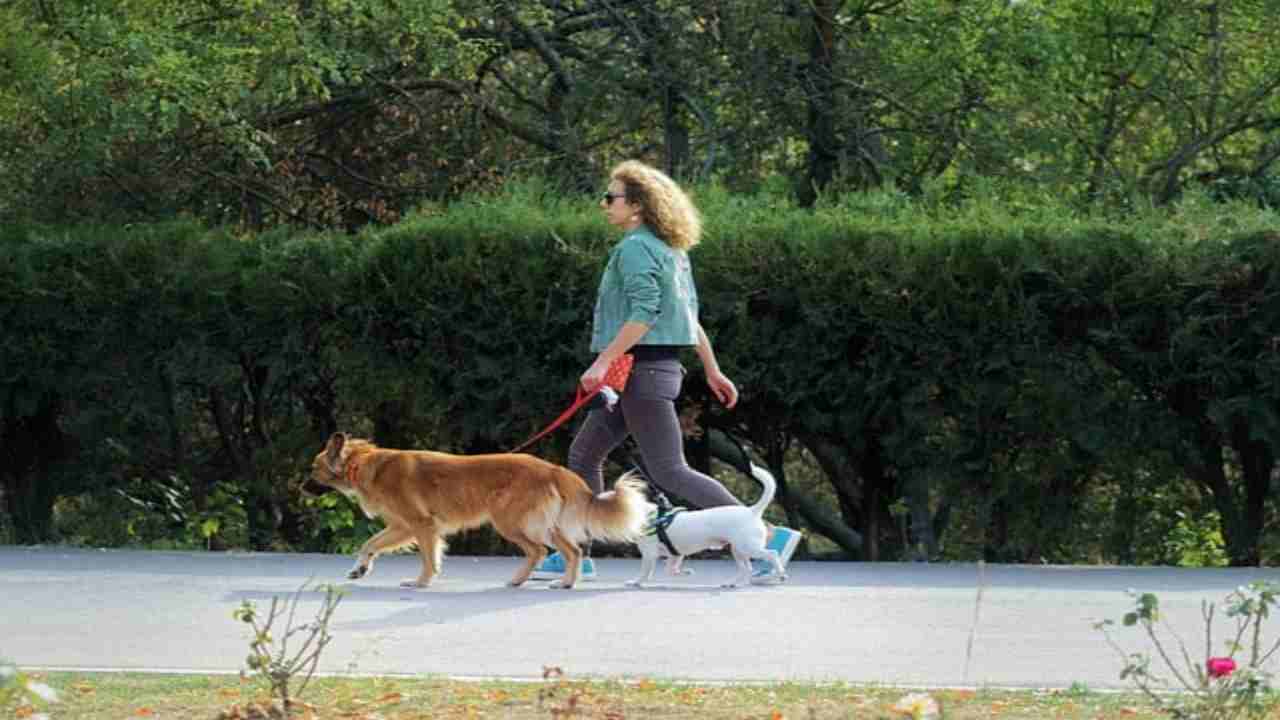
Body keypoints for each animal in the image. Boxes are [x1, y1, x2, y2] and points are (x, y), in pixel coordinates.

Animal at [304, 427, 645, 586]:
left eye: (313, 470)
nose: (300, 488)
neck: (360, 464)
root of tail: (552, 468)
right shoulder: (402, 526)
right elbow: (370, 544)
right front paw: (360, 568)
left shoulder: (421, 525)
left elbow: (427, 558)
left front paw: (421, 582)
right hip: (544, 525)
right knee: (570, 551)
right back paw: (563, 582)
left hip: (510, 522)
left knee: (539, 551)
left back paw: (525, 579)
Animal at [624, 461, 783, 586]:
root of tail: (752, 511)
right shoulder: (675, 555)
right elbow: (670, 569)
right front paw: (685, 572)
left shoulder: (649, 555)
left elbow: (644, 572)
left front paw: (636, 582)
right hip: (738, 550)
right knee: (747, 569)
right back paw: (732, 584)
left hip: (749, 548)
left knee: (773, 554)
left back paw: (779, 573)